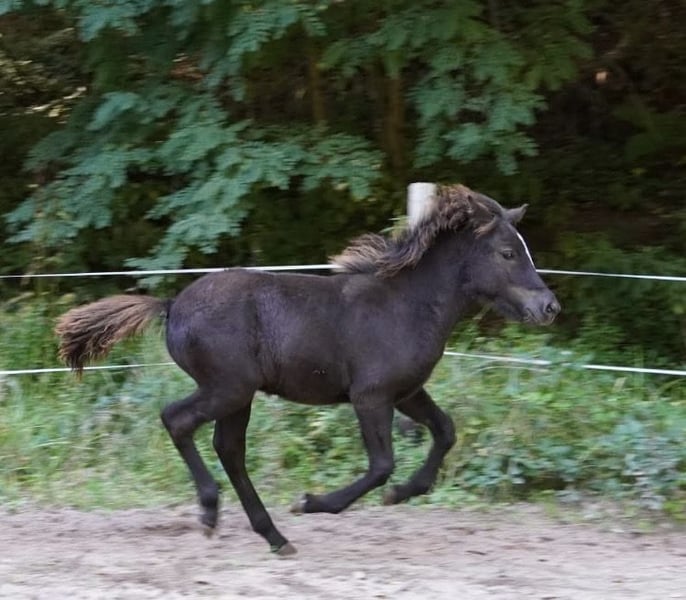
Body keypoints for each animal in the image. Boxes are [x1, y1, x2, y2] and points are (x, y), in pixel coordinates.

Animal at [55, 184, 560, 555]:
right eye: (507, 252)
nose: (549, 307)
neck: (406, 305)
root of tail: (172, 305)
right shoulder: (370, 396)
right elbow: (382, 465)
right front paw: (312, 502)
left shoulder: (407, 392)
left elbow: (446, 432)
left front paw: (403, 493)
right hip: (227, 388)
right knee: (177, 420)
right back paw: (213, 513)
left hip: (237, 397)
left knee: (228, 448)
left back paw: (273, 536)